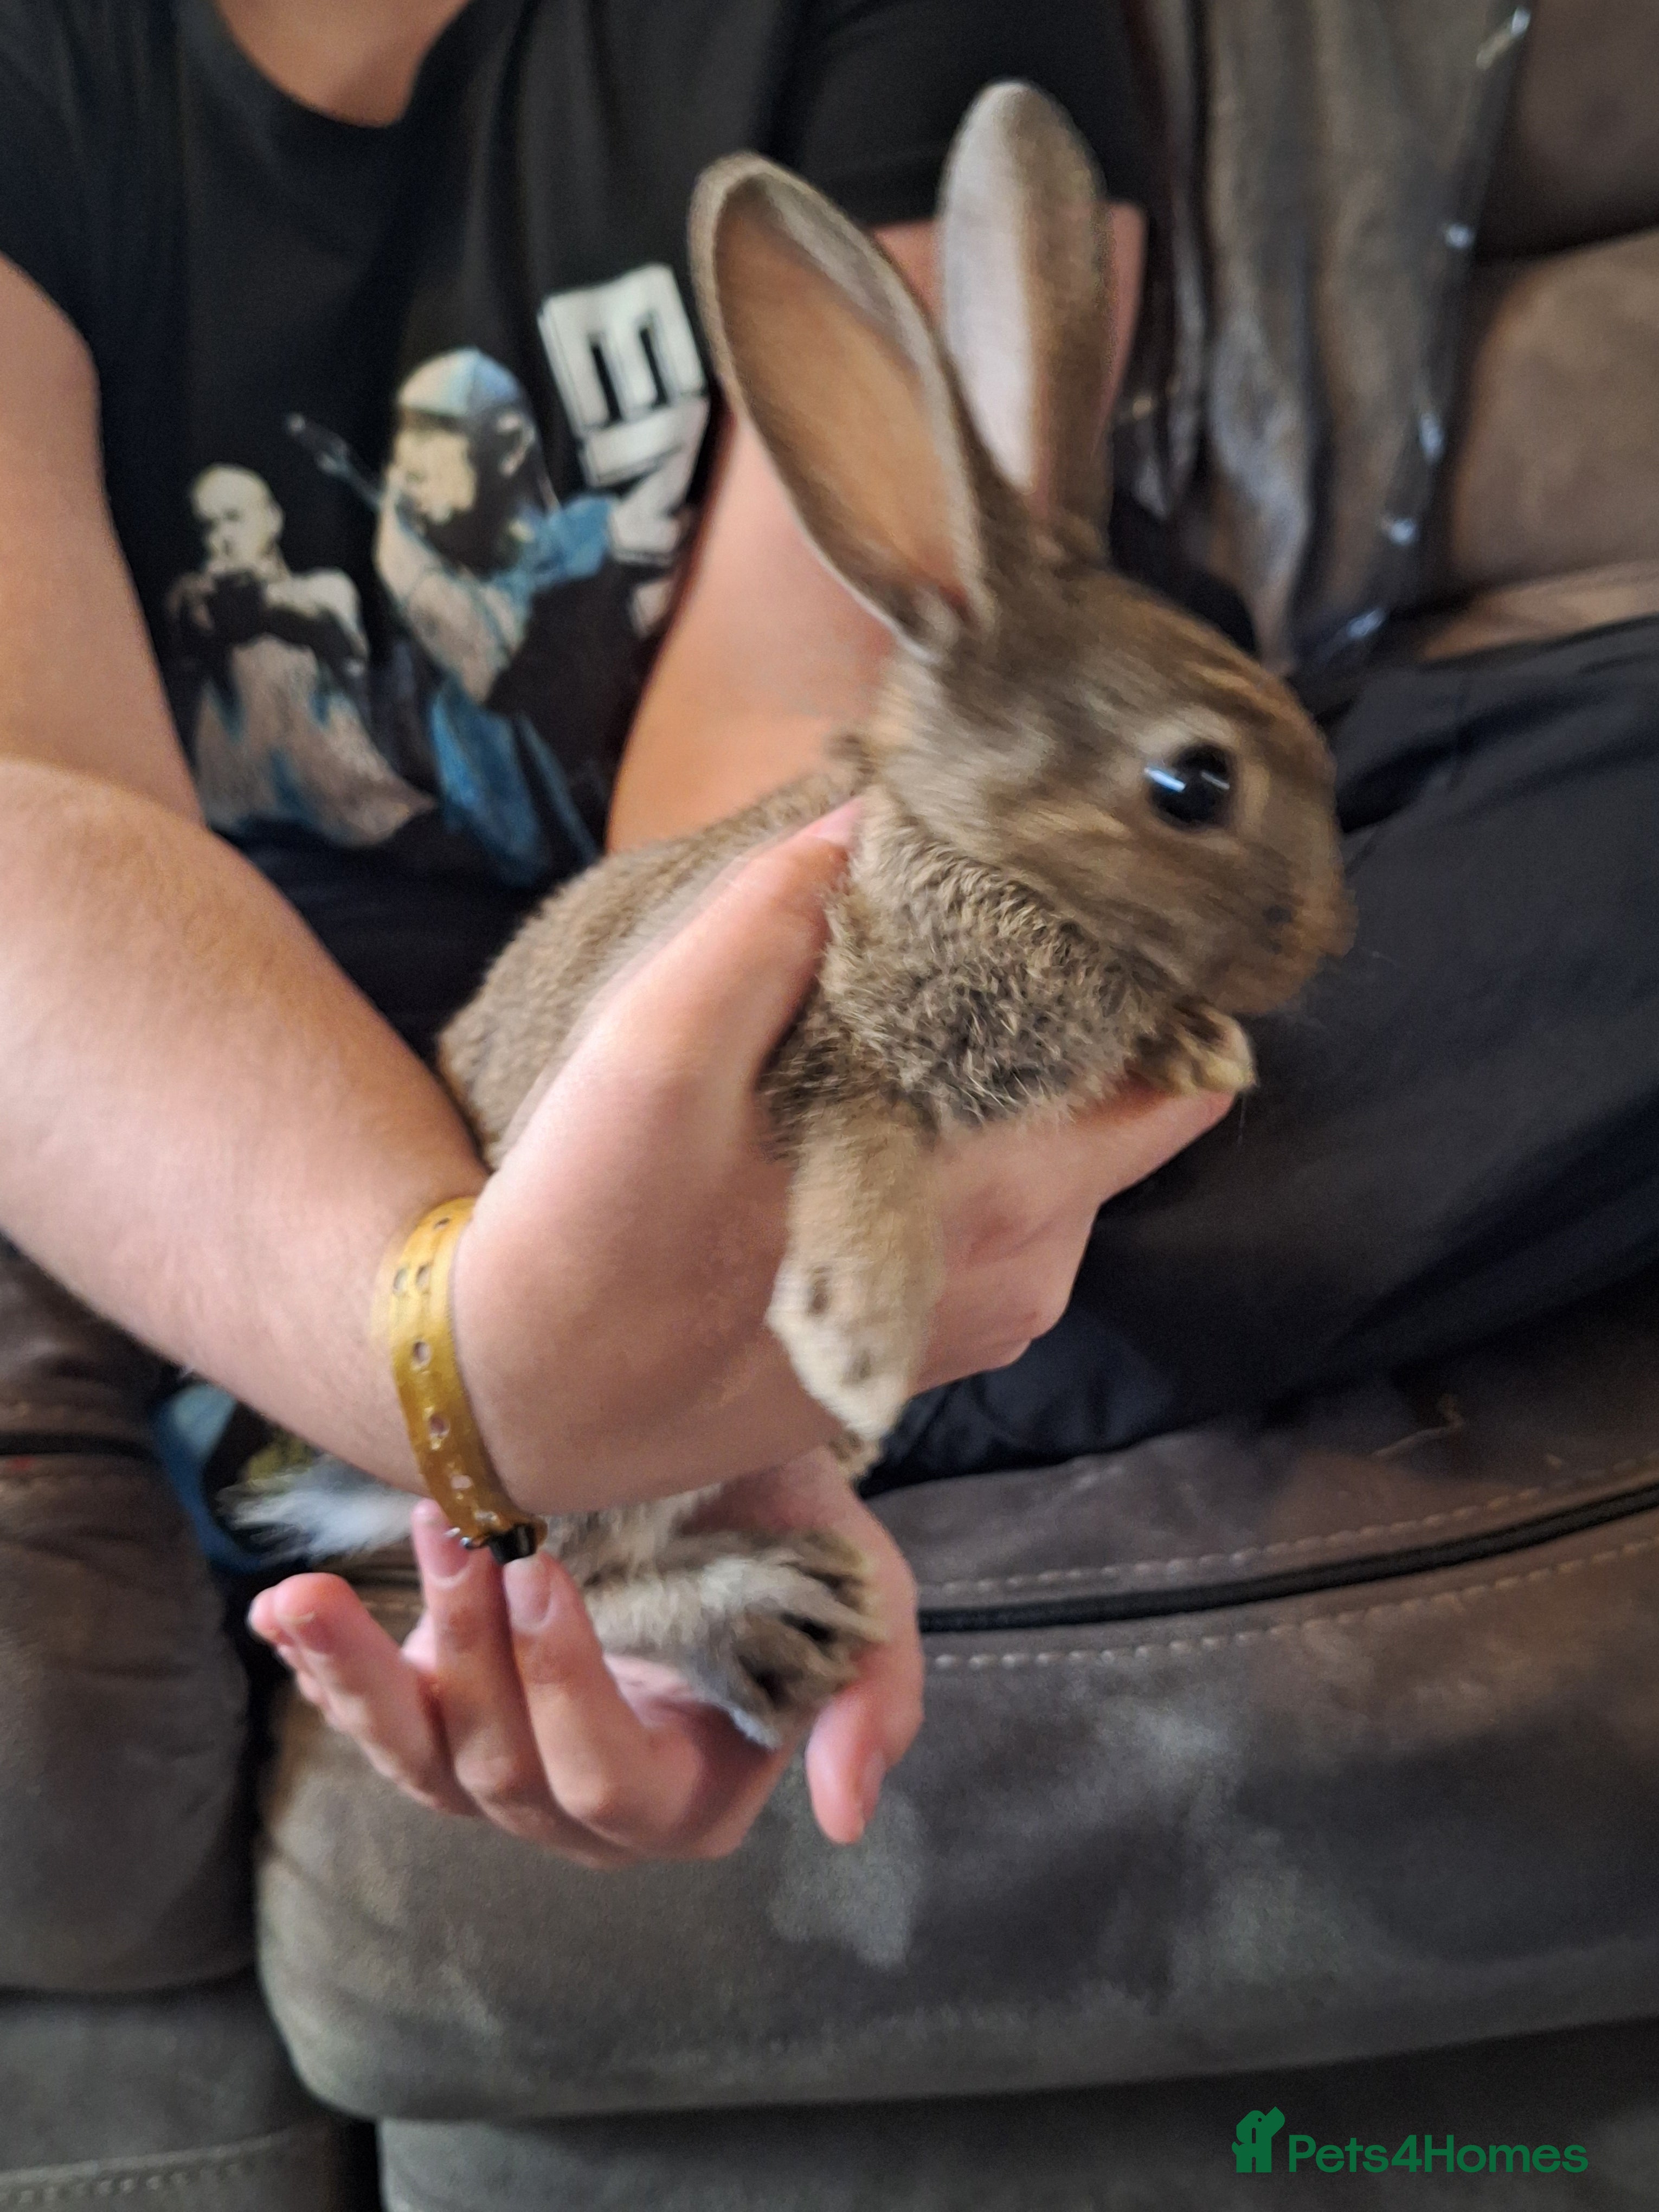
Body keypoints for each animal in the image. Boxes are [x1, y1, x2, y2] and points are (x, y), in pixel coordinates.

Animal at [236, 82, 1352, 1748]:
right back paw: (771, 1615)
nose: (1319, 936)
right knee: (576, 1583)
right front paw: (857, 1336)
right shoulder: (815, 1033)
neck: (967, 855)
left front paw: (1195, 1043)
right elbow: (863, 1130)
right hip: (587, 1474)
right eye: (1192, 783)